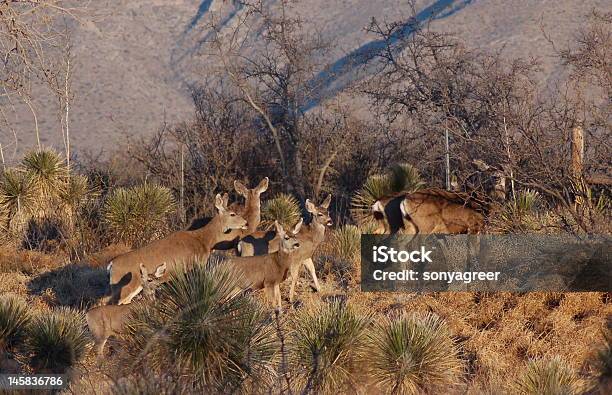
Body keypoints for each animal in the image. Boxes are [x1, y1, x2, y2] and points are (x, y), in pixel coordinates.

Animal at [109, 195, 247, 306]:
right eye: (233, 214)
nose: (246, 223)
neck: (203, 240)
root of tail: (111, 265)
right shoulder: (193, 266)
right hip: (126, 287)